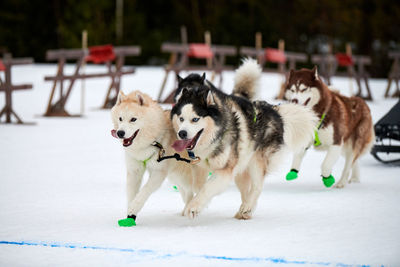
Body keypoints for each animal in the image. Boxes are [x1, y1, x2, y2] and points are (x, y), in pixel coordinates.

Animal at [170, 59, 318, 221]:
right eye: (181, 118)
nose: (182, 133)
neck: (214, 138)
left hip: (256, 162)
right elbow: (198, 186)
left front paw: (193, 207)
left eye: (195, 119)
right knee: (246, 190)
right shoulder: (199, 167)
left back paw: (247, 208)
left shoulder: (225, 170)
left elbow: (207, 188)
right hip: (242, 168)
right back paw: (245, 210)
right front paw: (195, 205)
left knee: (257, 187)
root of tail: (274, 111)